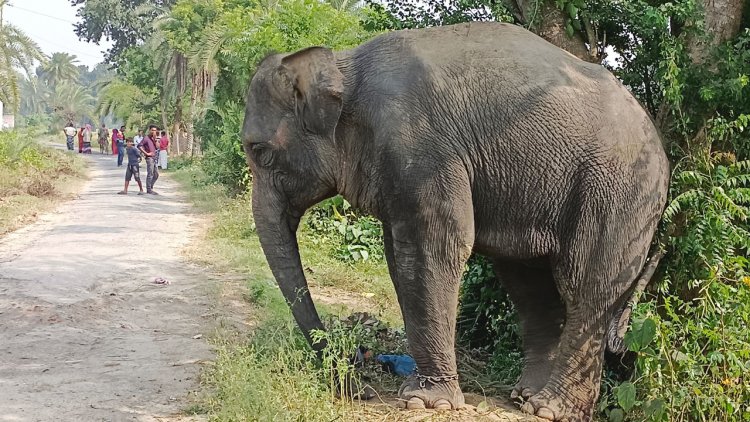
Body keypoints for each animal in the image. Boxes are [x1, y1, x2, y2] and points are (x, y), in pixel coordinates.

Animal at [241, 21, 668, 420]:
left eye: (259, 152)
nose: (357, 386)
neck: (342, 68)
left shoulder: (422, 149)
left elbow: (432, 249)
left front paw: (424, 402)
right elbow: (399, 258)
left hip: (619, 188)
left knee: (586, 283)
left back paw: (550, 409)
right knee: (530, 285)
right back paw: (525, 398)